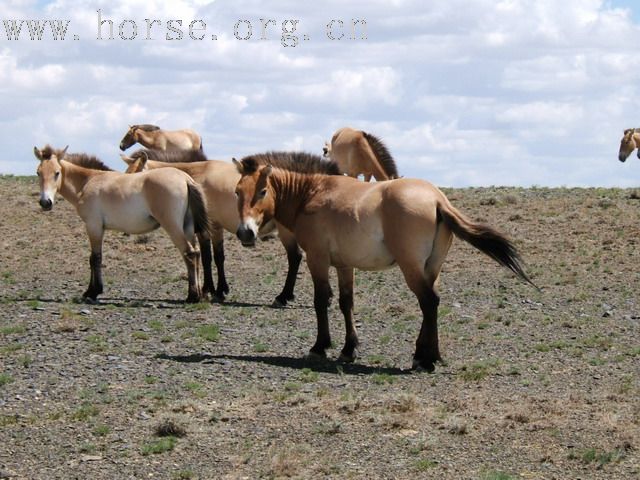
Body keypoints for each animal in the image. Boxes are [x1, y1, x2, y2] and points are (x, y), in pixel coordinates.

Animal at [34, 143, 210, 304]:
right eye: (38, 173)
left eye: (57, 173)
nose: (45, 203)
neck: (87, 182)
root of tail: (185, 179)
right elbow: (93, 258)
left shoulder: (93, 226)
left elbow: (95, 258)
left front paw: (92, 292)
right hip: (187, 228)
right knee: (196, 253)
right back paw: (198, 294)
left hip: (173, 227)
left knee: (189, 253)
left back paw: (192, 296)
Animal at [120, 148, 342, 306]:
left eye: (137, 178)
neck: (194, 176)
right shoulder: (206, 229)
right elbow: (210, 257)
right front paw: (212, 289)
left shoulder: (212, 227)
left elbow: (214, 257)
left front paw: (216, 290)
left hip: (287, 231)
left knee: (295, 257)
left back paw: (284, 296)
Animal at [235, 159, 536, 374]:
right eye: (238, 192)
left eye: (262, 191)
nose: (245, 233)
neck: (312, 193)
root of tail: (437, 199)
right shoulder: (344, 265)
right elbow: (346, 303)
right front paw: (348, 349)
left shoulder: (317, 259)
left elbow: (321, 301)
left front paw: (320, 347)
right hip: (431, 269)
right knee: (434, 303)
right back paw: (429, 355)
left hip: (411, 268)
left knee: (428, 302)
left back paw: (424, 361)